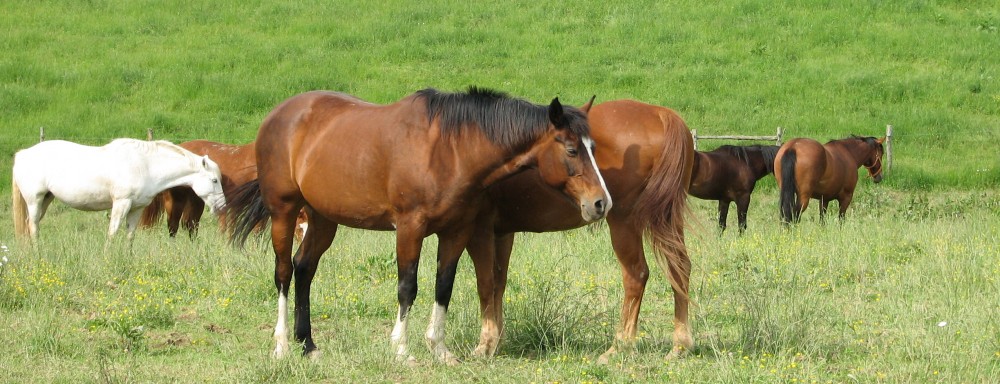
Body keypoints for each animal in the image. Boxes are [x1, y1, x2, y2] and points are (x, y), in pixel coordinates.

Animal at [11, 138, 227, 240]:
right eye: (215, 180)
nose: (222, 205)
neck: (145, 165)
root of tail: (23, 154)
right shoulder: (121, 204)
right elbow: (112, 232)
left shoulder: (136, 209)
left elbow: (130, 235)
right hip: (34, 201)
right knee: (33, 227)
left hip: (46, 199)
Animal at [228, 87, 612, 364]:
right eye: (572, 150)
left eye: (593, 147)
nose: (601, 203)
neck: (450, 151)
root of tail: (279, 114)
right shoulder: (410, 228)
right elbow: (407, 287)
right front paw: (401, 349)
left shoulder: (456, 231)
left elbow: (444, 287)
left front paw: (439, 349)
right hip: (284, 211)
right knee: (283, 273)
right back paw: (281, 346)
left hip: (322, 218)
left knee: (304, 268)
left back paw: (309, 345)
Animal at [466, 100, 696, 364]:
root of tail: (660, 113)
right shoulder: (502, 233)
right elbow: (499, 282)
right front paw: (496, 342)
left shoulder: (479, 232)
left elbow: (485, 283)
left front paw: (485, 345)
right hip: (668, 219)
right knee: (680, 268)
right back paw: (680, 344)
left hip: (624, 223)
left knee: (636, 275)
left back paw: (620, 346)